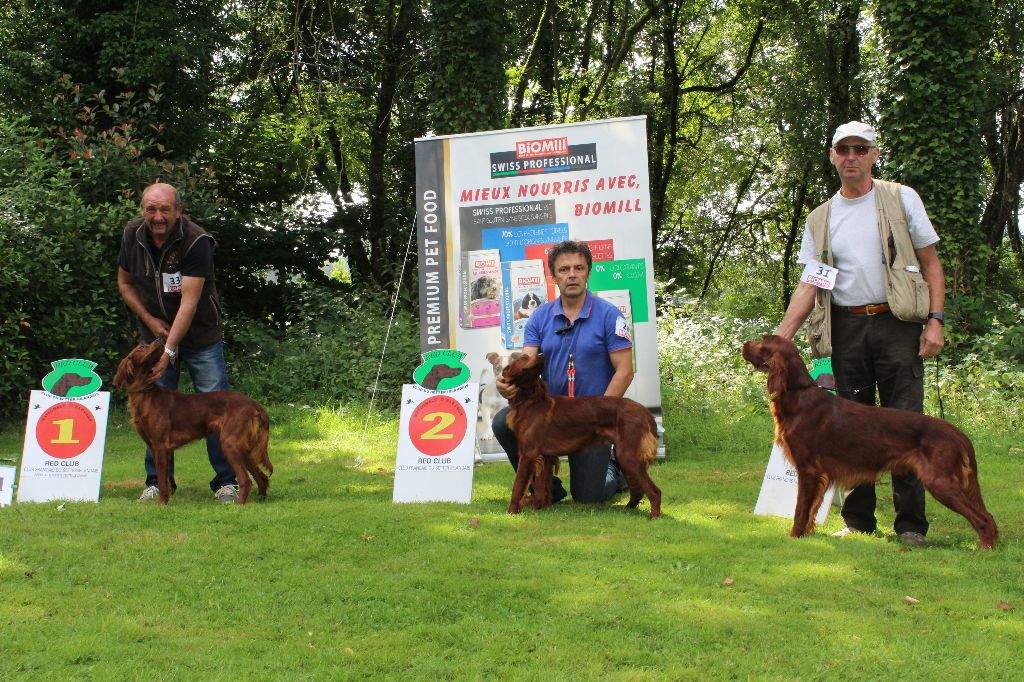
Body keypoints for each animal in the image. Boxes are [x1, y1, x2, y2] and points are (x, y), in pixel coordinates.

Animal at [113, 342, 272, 501]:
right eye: (141, 348)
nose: (160, 341)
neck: (145, 393)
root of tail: (254, 404)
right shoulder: (154, 447)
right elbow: (164, 479)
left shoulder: (160, 446)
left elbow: (163, 483)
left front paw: (161, 503)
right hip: (244, 448)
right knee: (262, 477)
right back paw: (261, 499)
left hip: (230, 443)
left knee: (246, 480)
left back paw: (239, 503)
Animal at [499, 350, 659, 516]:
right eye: (524, 357)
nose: (542, 354)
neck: (530, 400)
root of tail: (645, 413)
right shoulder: (544, 456)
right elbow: (540, 488)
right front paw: (538, 508)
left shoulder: (528, 454)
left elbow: (517, 486)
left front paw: (511, 512)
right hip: (623, 455)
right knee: (638, 490)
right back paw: (627, 509)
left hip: (627, 455)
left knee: (654, 491)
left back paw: (654, 516)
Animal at [741, 333, 995, 548]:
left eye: (762, 342)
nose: (744, 344)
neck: (798, 393)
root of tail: (958, 433)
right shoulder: (819, 475)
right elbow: (812, 509)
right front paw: (808, 533)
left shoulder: (808, 470)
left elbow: (801, 509)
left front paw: (794, 536)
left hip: (939, 481)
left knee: (984, 517)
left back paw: (985, 548)